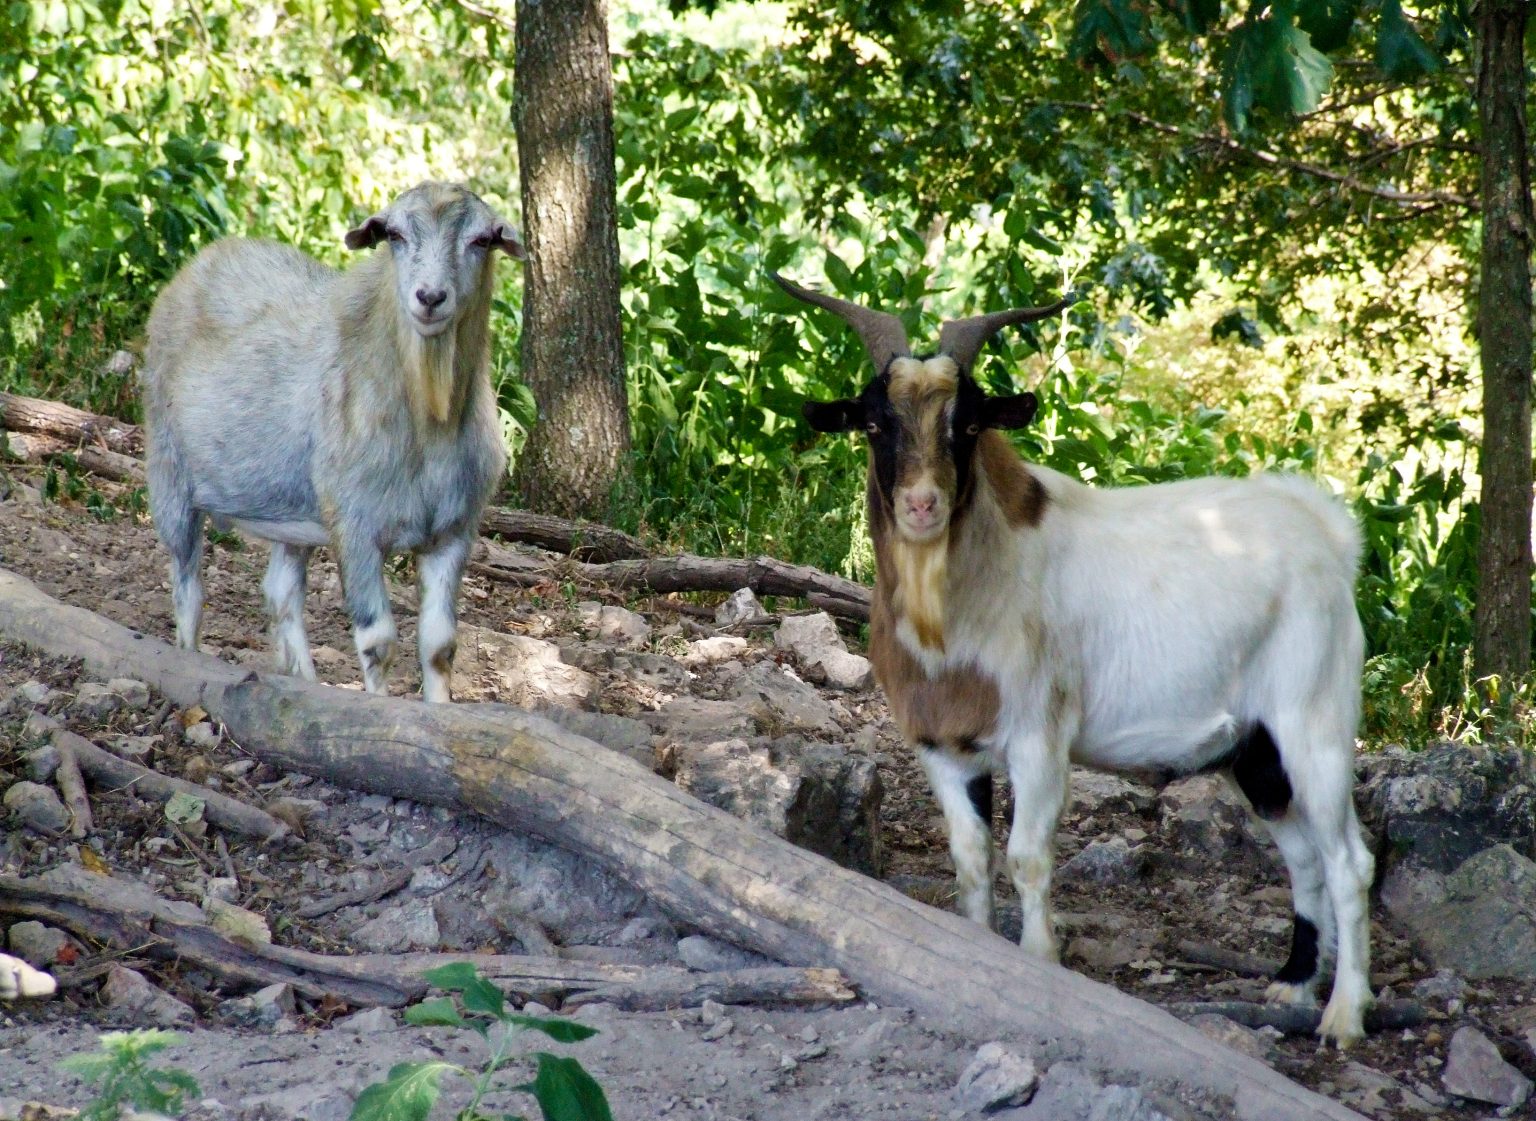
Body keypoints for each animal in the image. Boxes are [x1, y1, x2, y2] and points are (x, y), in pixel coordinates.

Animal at [143, 182, 521, 702]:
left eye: (482, 240)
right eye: (395, 235)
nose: (430, 297)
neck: (429, 424)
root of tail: (201, 261)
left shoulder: (455, 531)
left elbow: (440, 646)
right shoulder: (354, 524)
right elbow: (378, 642)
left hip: (289, 513)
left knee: (281, 593)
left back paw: (303, 681)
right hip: (168, 473)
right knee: (187, 587)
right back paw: (190, 656)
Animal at [776, 273, 1374, 1047]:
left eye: (967, 425)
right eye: (876, 424)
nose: (922, 505)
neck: (958, 612)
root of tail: (1329, 534)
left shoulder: (1039, 735)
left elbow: (1028, 857)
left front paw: (1039, 967)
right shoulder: (942, 745)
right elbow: (970, 860)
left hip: (1315, 721)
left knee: (1349, 861)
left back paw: (1344, 1016)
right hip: (1254, 748)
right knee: (1302, 855)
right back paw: (1293, 985)